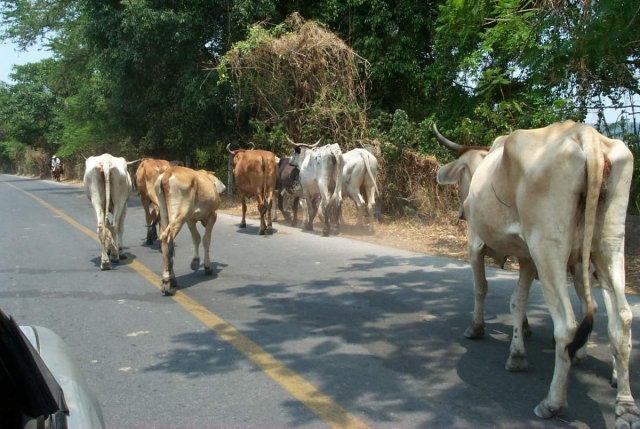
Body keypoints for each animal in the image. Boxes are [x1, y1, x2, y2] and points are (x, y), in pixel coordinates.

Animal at [154, 166, 225, 294]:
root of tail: (168, 173)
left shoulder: (191, 220)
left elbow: (196, 238)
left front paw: (195, 262)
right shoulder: (212, 215)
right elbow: (206, 240)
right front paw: (207, 267)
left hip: (165, 214)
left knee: (166, 241)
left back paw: (172, 279)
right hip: (180, 215)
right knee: (166, 238)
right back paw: (167, 282)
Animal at [436, 121, 640, 428]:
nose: (461, 212)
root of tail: (584, 133)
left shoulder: (476, 244)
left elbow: (483, 288)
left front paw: (478, 329)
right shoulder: (527, 256)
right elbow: (518, 300)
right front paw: (520, 342)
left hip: (549, 246)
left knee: (567, 325)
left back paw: (553, 403)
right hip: (608, 246)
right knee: (621, 320)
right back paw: (625, 404)